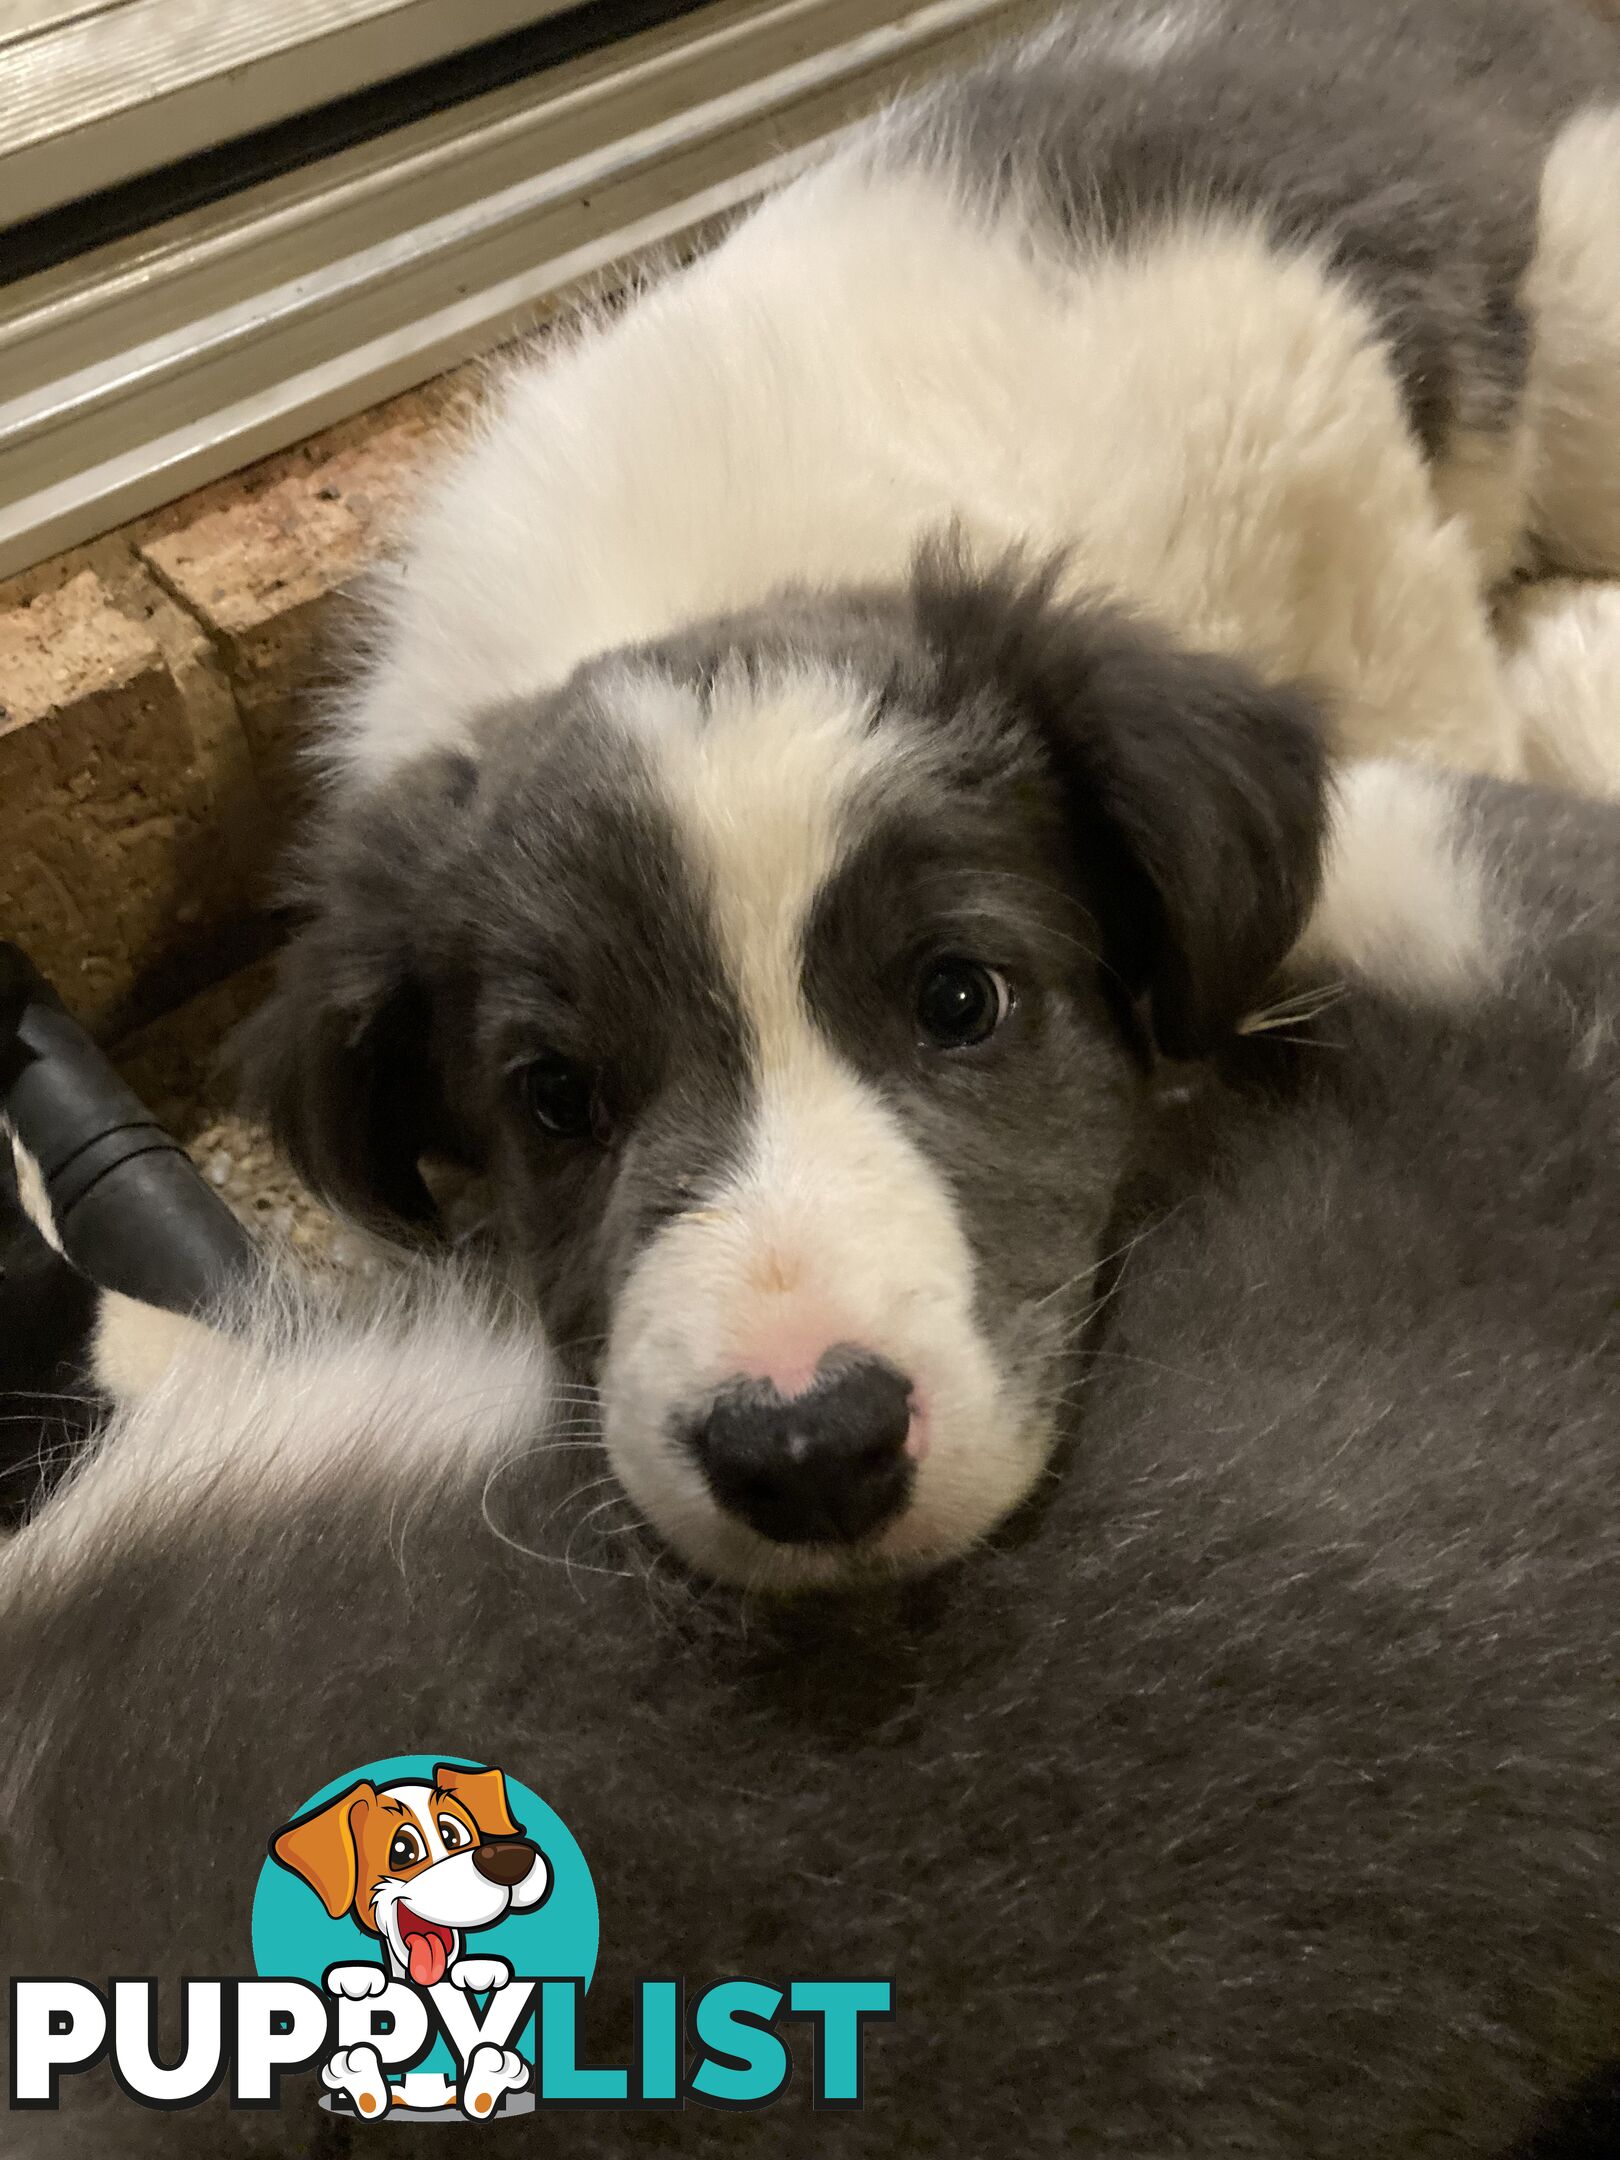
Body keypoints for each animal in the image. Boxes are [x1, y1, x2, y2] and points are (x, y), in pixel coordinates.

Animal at [244, 0, 1620, 1589]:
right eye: (553, 1098)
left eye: (961, 999)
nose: (805, 1450)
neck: (724, 576)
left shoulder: (1320, 456)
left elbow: (1433, 723)